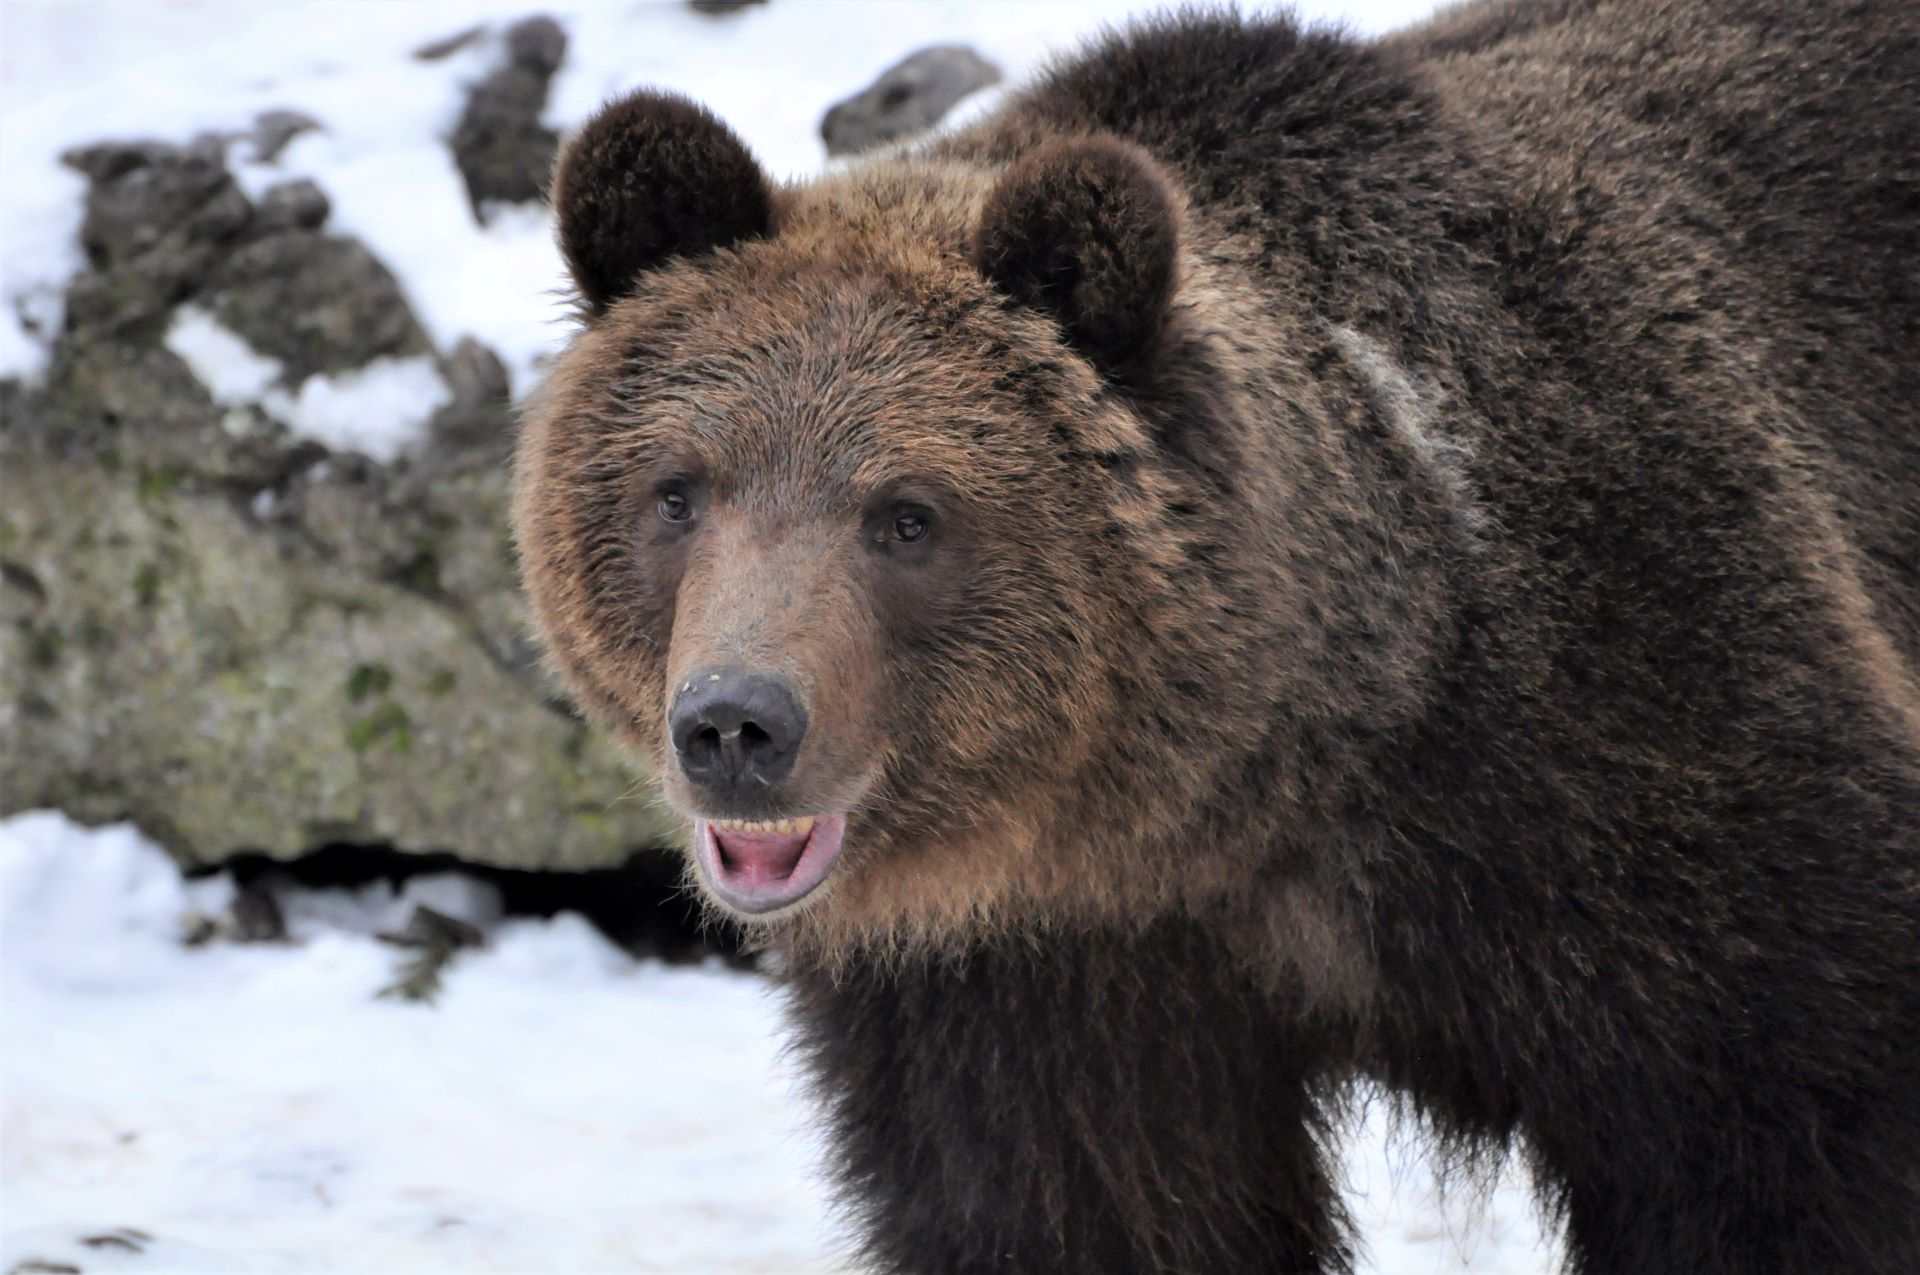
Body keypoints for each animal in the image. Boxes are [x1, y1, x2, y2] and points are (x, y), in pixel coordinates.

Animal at [510, 0, 1920, 1267]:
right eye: (678, 491)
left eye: (907, 515)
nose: (736, 725)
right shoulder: (1046, 982)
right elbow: (1084, 1207)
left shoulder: (1650, 777)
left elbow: (1794, 1129)